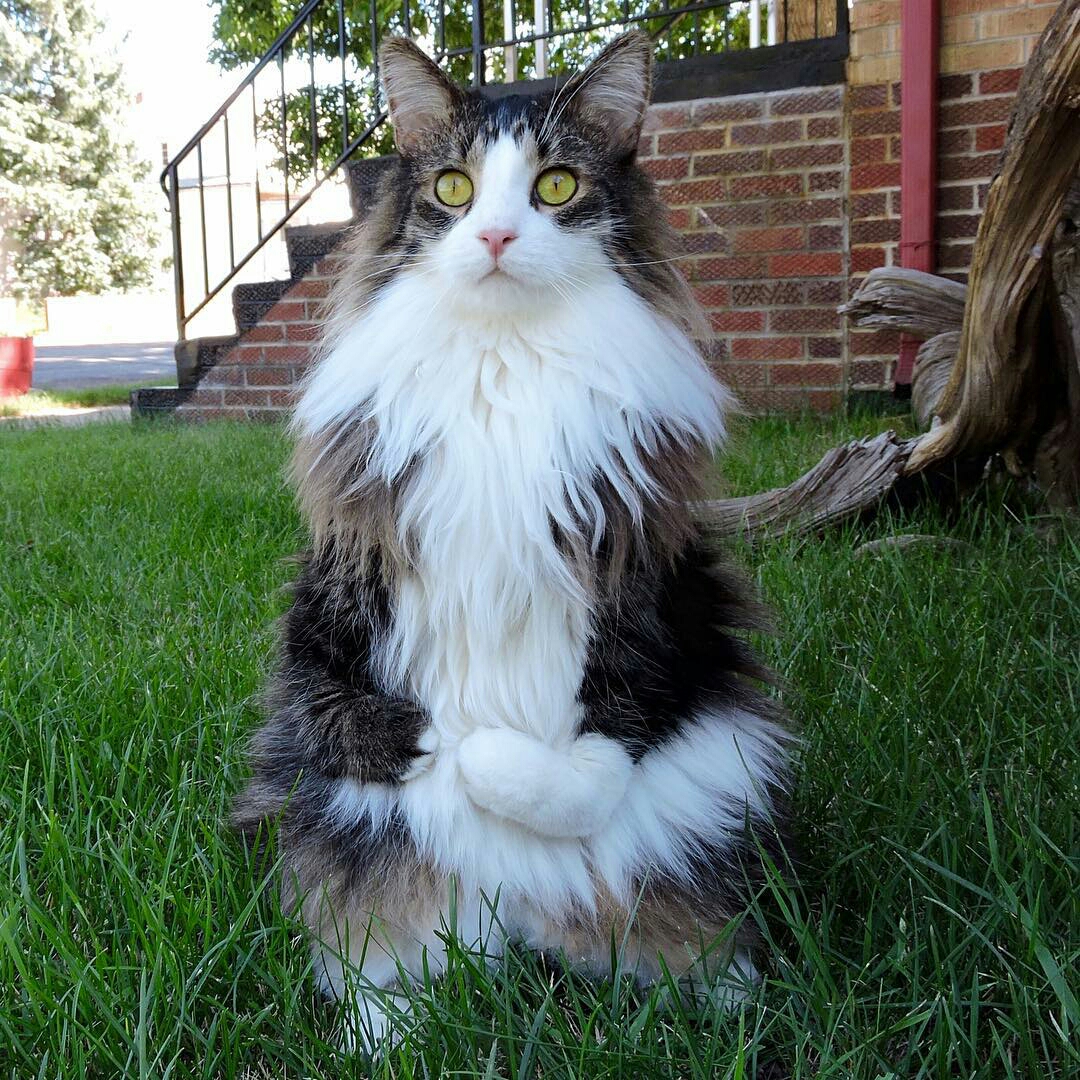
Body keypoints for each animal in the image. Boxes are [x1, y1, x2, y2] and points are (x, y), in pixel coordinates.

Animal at [236, 29, 790, 1049]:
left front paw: (485, 760)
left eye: (557, 185)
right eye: (454, 188)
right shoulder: (336, 599)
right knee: (379, 966)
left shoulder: (651, 591)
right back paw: (396, 1024)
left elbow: (595, 754)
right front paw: (443, 751)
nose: (494, 236)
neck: (505, 369)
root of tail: (523, 925)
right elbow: (368, 729)